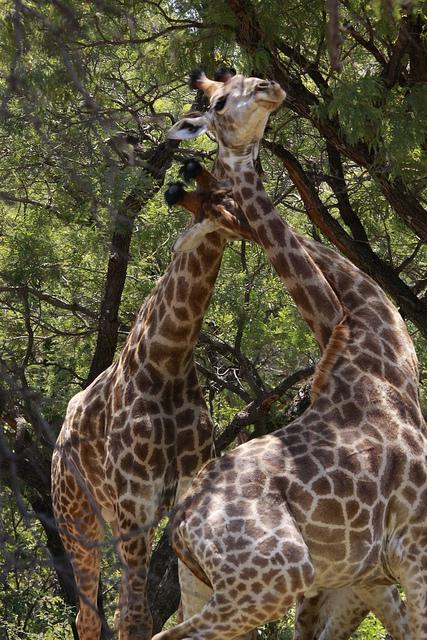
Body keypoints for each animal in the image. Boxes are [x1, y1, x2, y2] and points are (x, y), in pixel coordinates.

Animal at [50, 175, 253, 640]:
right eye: (222, 205)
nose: (258, 229)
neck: (169, 357)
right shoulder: (134, 495)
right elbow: (139, 618)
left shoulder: (186, 488)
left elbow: (189, 610)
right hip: (77, 519)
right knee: (92, 615)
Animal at [149, 71, 427, 640]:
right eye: (218, 103)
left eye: (238, 82)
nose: (267, 87)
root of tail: (181, 526)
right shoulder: (413, 545)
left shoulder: (364, 577)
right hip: (277, 573)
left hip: (216, 584)